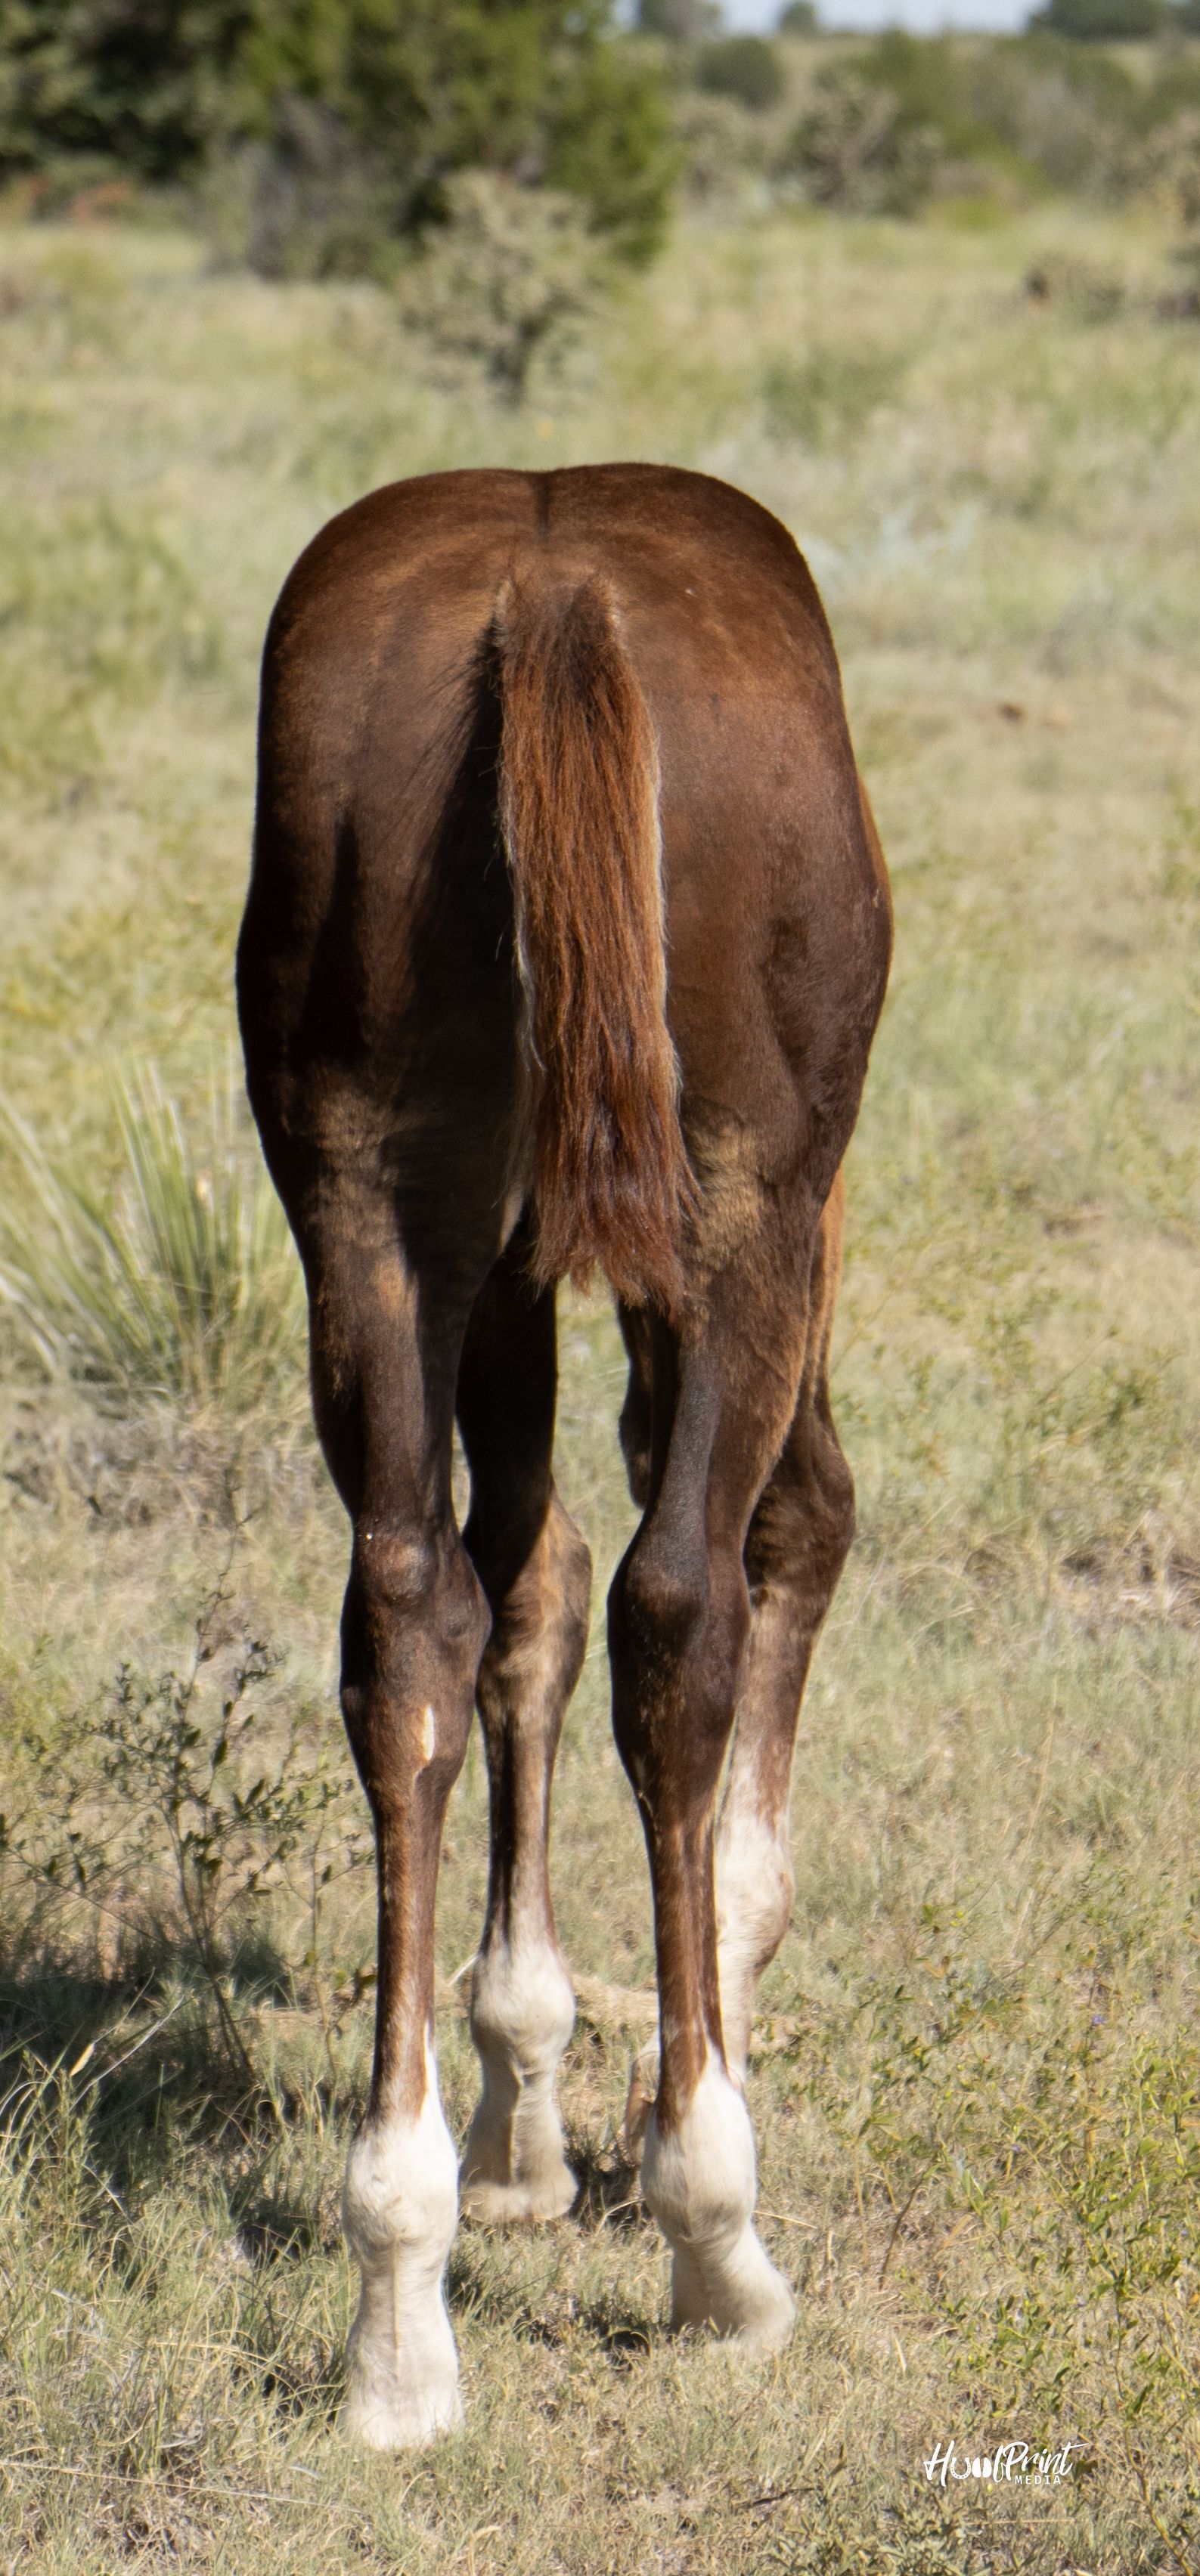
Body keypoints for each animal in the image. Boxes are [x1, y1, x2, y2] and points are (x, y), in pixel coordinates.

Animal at [236, 461, 892, 2448]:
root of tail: (554, 586)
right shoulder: (741, 1236)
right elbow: (755, 1556)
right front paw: (685, 2061)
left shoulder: (511, 1259)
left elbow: (516, 1592)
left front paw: (518, 2115)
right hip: (741, 1212)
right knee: (677, 1608)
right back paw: (714, 2240)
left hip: (370, 1211)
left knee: (409, 1625)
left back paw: (397, 2306)